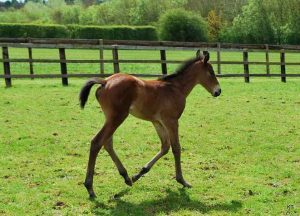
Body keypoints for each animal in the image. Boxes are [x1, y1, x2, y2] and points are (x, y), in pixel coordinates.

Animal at [79, 52, 220, 197]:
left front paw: (139, 174)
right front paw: (182, 180)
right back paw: (90, 187)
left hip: (110, 118)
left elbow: (165, 147)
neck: (175, 88)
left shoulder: (157, 122)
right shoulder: (171, 120)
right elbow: (176, 147)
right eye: (211, 72)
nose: (218, 91)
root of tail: (105, 81)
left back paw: (126, 177)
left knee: (107, 143)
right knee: (97, 142)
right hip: (117, 117)